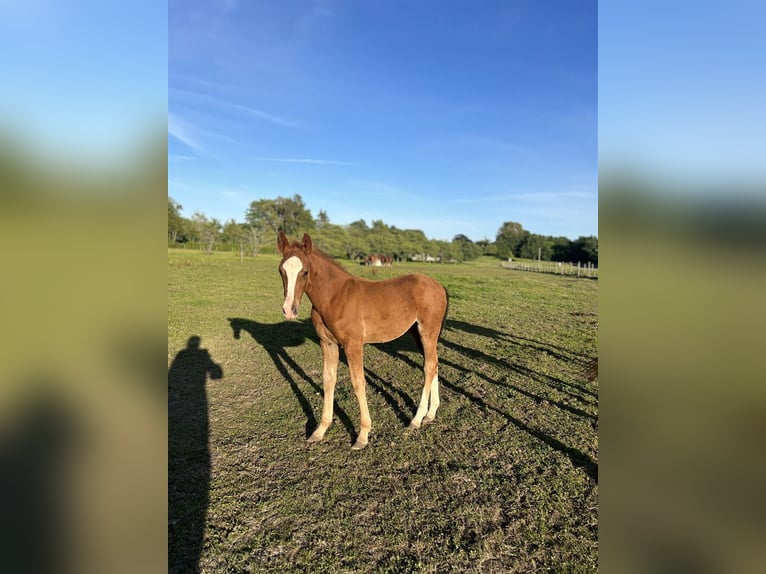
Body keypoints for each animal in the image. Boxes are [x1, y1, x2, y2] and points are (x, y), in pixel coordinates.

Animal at [278, 233, 450, 450]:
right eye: (281, 271)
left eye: (305, 272)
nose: (289, 310)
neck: (334, 297)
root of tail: (439, 286)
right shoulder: (327, 343)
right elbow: (328, 380)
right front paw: (319, 430)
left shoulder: (353, 345)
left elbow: (358, 382)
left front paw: (362, 435)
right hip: (417, 333)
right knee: (434, 363)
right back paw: (430, 414)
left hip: (428, 331)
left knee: (428, 367)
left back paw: (416, 420)